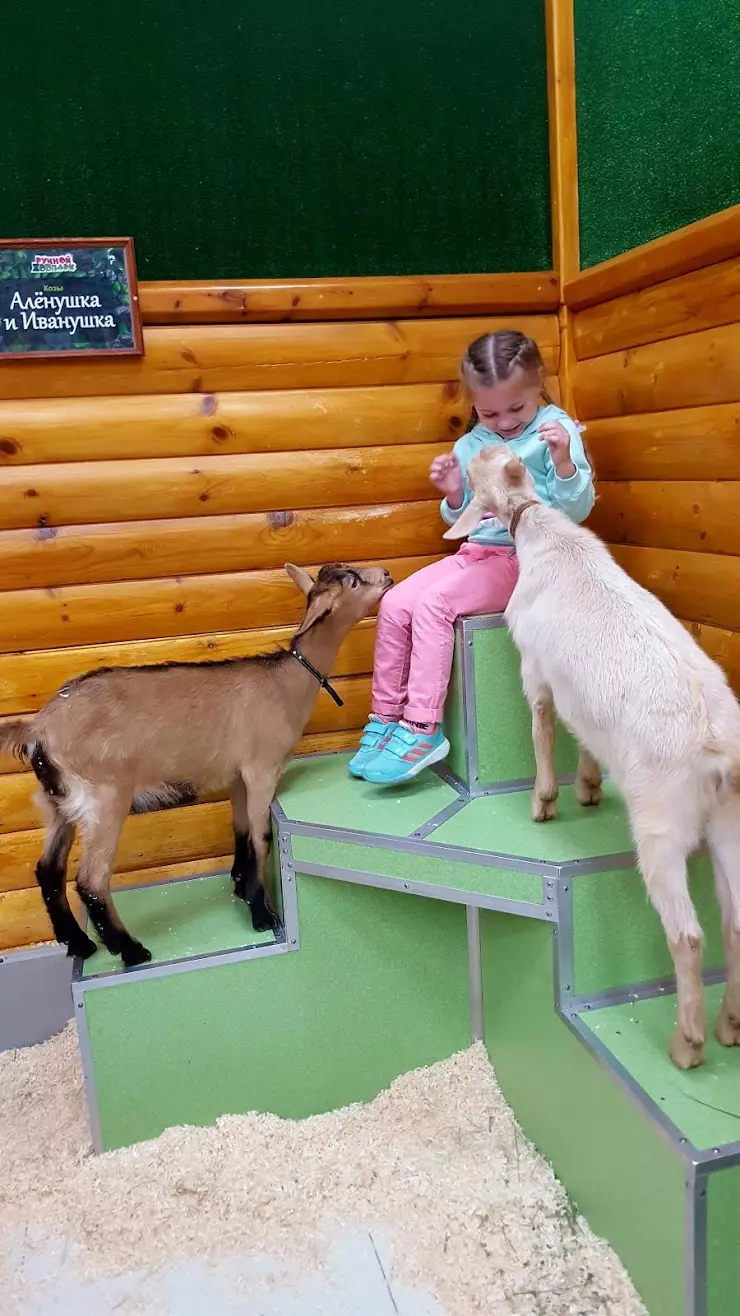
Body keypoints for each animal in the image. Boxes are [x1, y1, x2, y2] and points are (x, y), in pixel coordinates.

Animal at [0, 563, 389, 968]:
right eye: (354, 581)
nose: (387, 575)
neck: (286, 682)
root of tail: (40, 726)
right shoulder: (261, 770)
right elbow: (261, 838)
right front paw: (263, 914)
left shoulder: (237, 777)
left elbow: (241, 832)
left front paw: (241, 886)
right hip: (104, 797)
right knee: (92, 879)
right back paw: (131, 949)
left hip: (56, 800)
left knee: (48, 869)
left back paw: (79, 943)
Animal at [442, 447, 737, 1073]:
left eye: (477, 471)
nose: (463, 455)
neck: (540, 527)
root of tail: (719, 752)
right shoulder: (578, 692)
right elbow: (581, 730)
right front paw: (589, 786)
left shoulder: (533, 663)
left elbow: (543, 724)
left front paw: (546, 800)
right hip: (733, 825)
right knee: (735, 924)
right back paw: (729, 1026)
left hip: (662, 824)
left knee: (689, 935)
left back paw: (688, 1044)